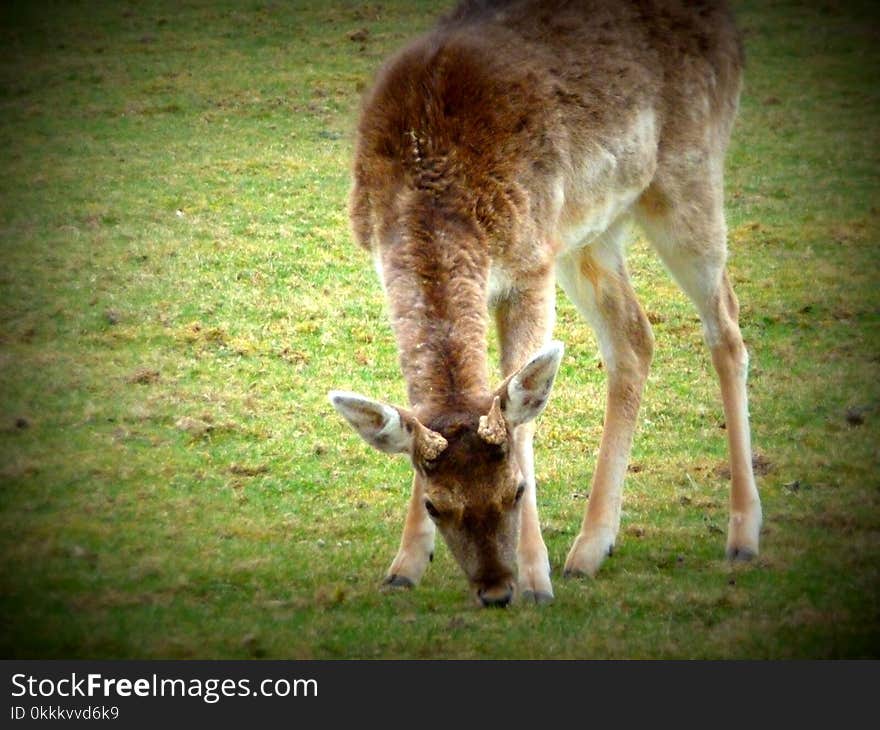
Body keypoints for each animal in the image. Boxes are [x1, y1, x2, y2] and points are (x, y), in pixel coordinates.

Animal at [330, 0, 764, 604]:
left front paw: (536, 579)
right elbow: (423, 410)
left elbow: (521, 414)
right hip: (587, 231)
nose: (496, 591)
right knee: (634, 337)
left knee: (726, 324)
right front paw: (403, 567)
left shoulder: (529, 265)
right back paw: (589, 550)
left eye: (516, 490)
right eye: (436, 505)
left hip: (688, 173)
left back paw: (743, 536)